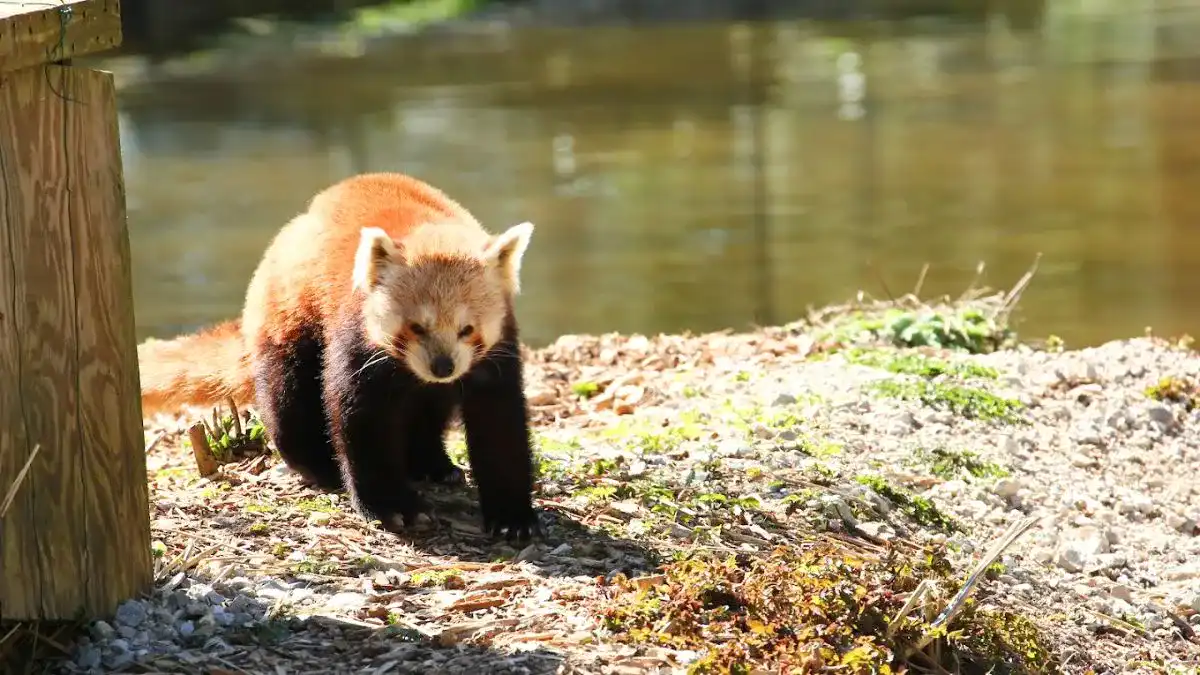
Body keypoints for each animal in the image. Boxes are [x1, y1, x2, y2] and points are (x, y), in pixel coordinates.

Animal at [136, 171, 540, 535]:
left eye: (467, 329)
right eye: (416, 327)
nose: (442, 366)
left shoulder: (495, 353)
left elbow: (500, 422)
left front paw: (512, 517)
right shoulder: (356, 338)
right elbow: (360, 417)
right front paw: (395, 508)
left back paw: (433, 465)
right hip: (290, 321)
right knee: (290, 399)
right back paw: (321, 466)